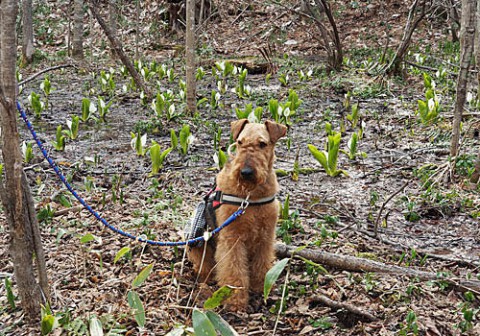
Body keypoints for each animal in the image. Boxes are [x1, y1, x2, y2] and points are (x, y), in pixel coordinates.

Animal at [187, 119, 284, 312]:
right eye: (240, 142)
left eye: (262, 144)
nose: (245, 172)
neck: (251, 196)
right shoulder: (232, 238)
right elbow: (234, 270)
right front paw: (235, 300)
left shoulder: (266, 236)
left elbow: (262, 264)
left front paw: (260, 286)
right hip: (196, 242)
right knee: (204, 267)